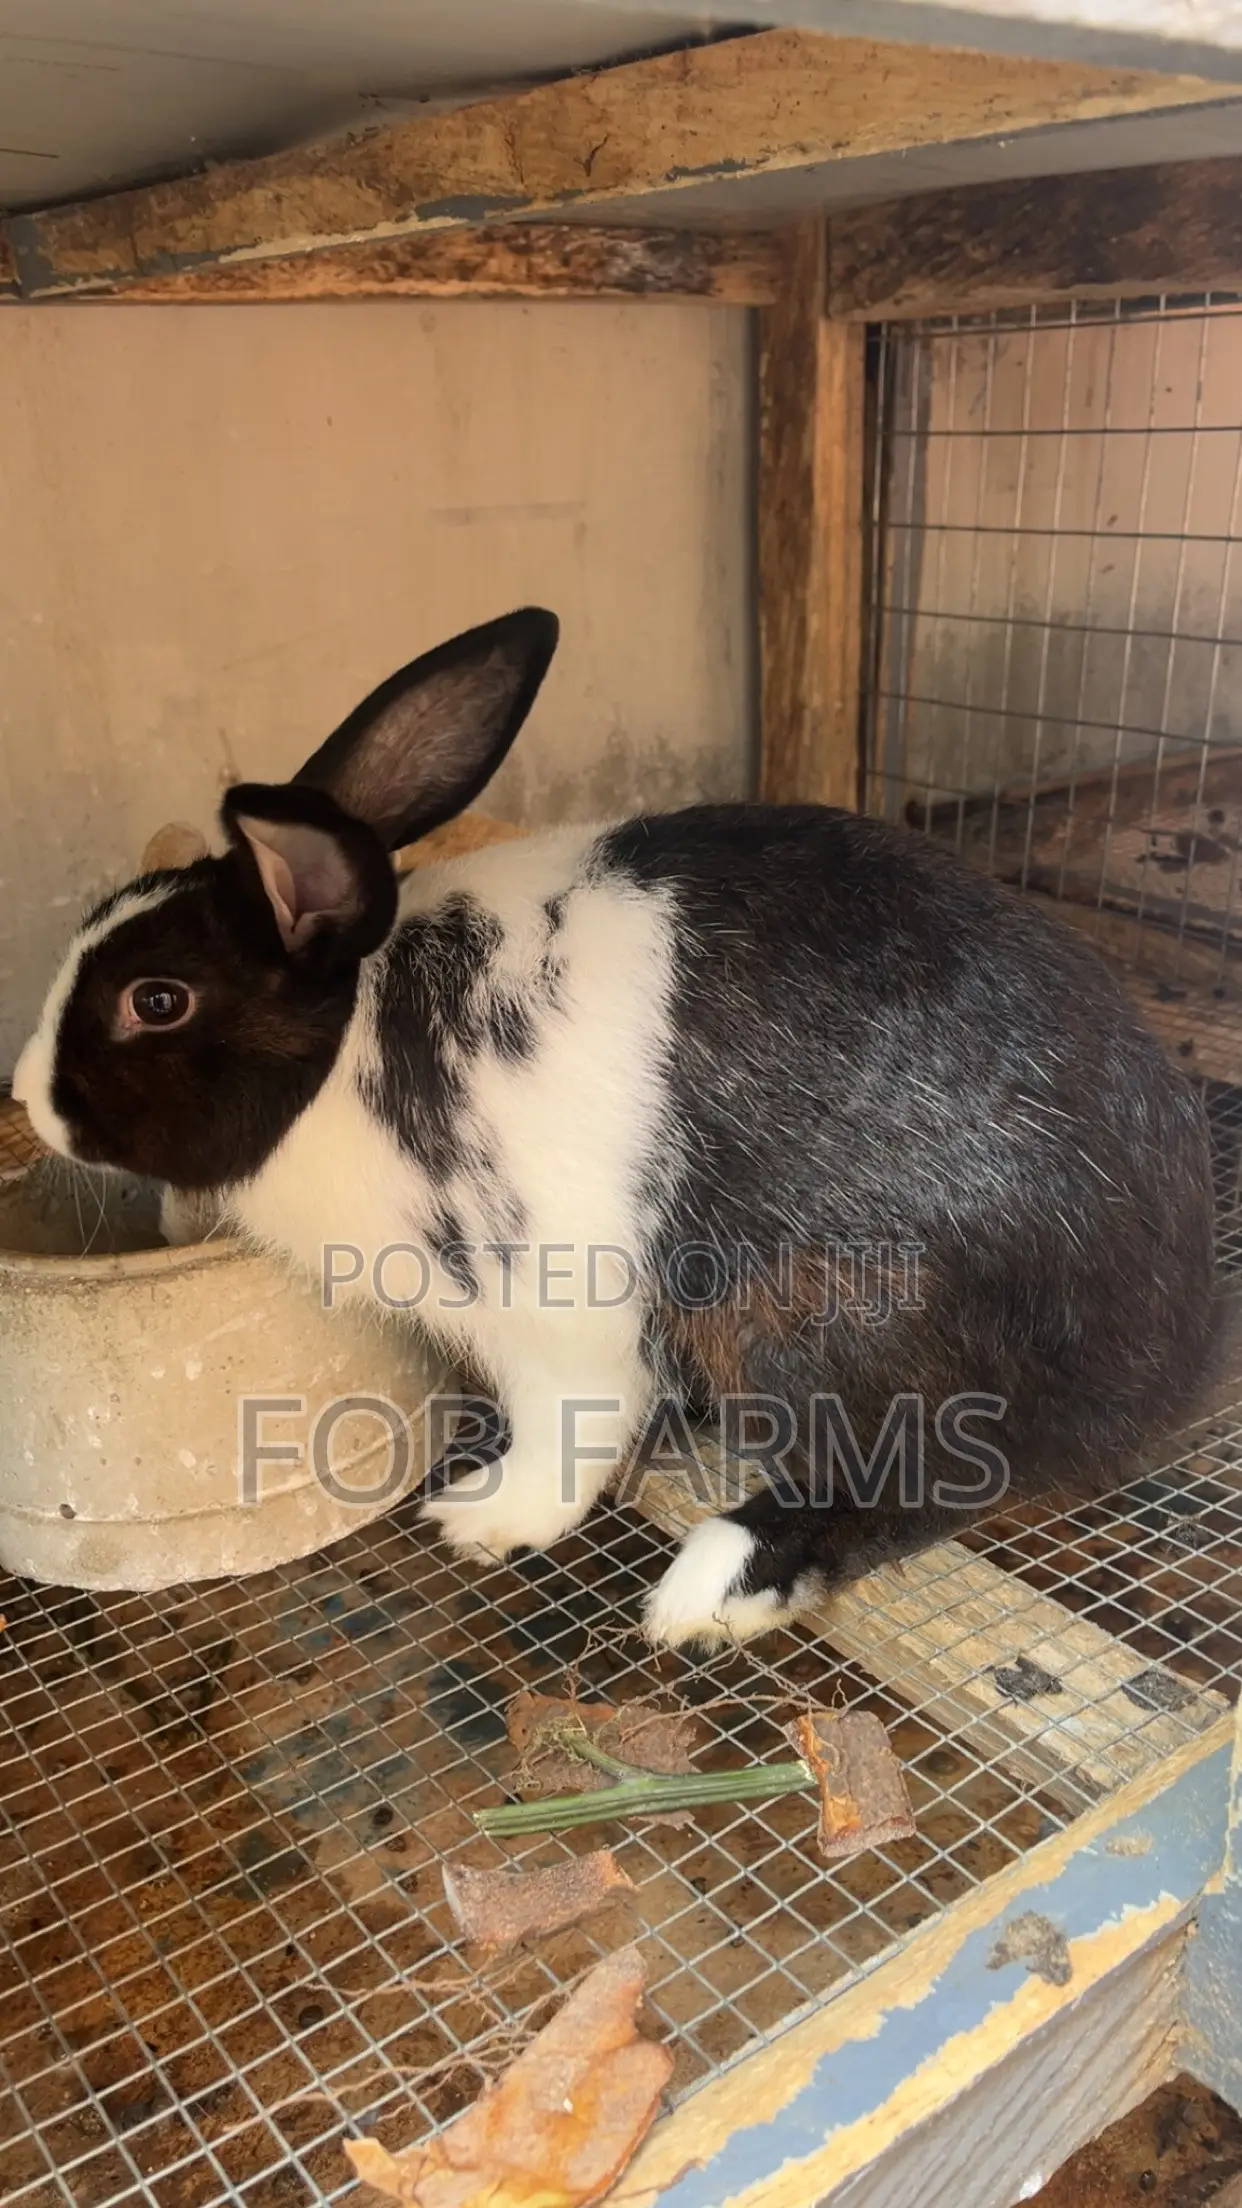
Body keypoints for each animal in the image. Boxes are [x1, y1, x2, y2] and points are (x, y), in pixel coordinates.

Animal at [13, 607, 1220, 1649]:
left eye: (157, 1000)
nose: (24, 1093)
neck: (348, 1039)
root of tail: (1167, 1341)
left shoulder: (550, 1312)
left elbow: (570, 1428)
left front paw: (487, 1517)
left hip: (812, 1313)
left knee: (949, 1467)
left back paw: (725, 1581)